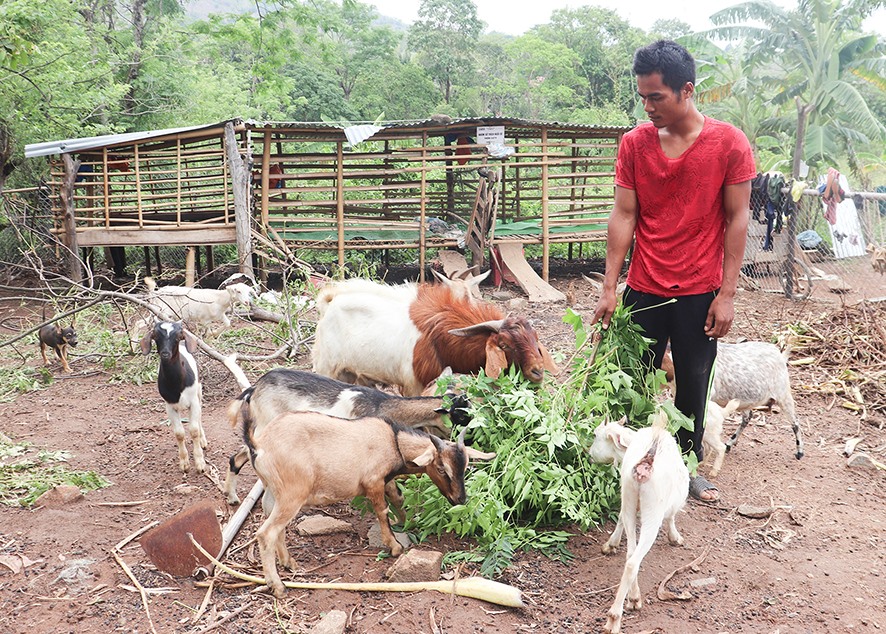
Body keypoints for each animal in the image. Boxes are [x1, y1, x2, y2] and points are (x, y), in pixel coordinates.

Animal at [140, 324, 206, 472]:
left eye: (176, 338)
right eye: (156, 337)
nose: (165, 354)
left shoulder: (193, 402)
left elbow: (194, 430)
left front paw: (200, 463)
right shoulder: (170, 406)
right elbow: (179, 434)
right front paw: (184, 463)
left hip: (199, 392)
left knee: (199, 418)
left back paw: (203, 441)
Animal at [224, 366, 472, 504]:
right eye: (461, 415)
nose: (471, 440)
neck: (383, 406)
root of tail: (254, 388)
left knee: (236, 457)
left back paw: (232, 496)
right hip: (266, 427)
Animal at [239, 408, 496, 596]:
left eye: (465, 466)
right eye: (442, 468)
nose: (460, 498)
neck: (393, 440)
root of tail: (259, 445)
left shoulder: (385, 481)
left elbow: (398, 499)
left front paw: (407, 523)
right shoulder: (373, 481)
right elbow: (382, 510)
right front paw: (394, 546)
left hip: (274, 493)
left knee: (277, 527)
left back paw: (289, 563)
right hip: (293, 493)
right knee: (266, 533)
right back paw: (278, 586)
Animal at [316, 278, 560, 392]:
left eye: (535, 339)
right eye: (505, 344)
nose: (537, 371)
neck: (438, 338)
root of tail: (330, 302)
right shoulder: (413, 384)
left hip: (354, 375)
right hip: (326, 369)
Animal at [588, 412, 692, 632]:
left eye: (595, 435)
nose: (589, 455)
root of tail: (647, 459)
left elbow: (619, 517)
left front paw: (611, 544)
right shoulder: (674, 498)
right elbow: (672, 516)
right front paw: (675, 537)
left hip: (629, 492)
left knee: (630, 552)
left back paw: (633, 598)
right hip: (653, 509)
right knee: (633, 561)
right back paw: (614, 618)